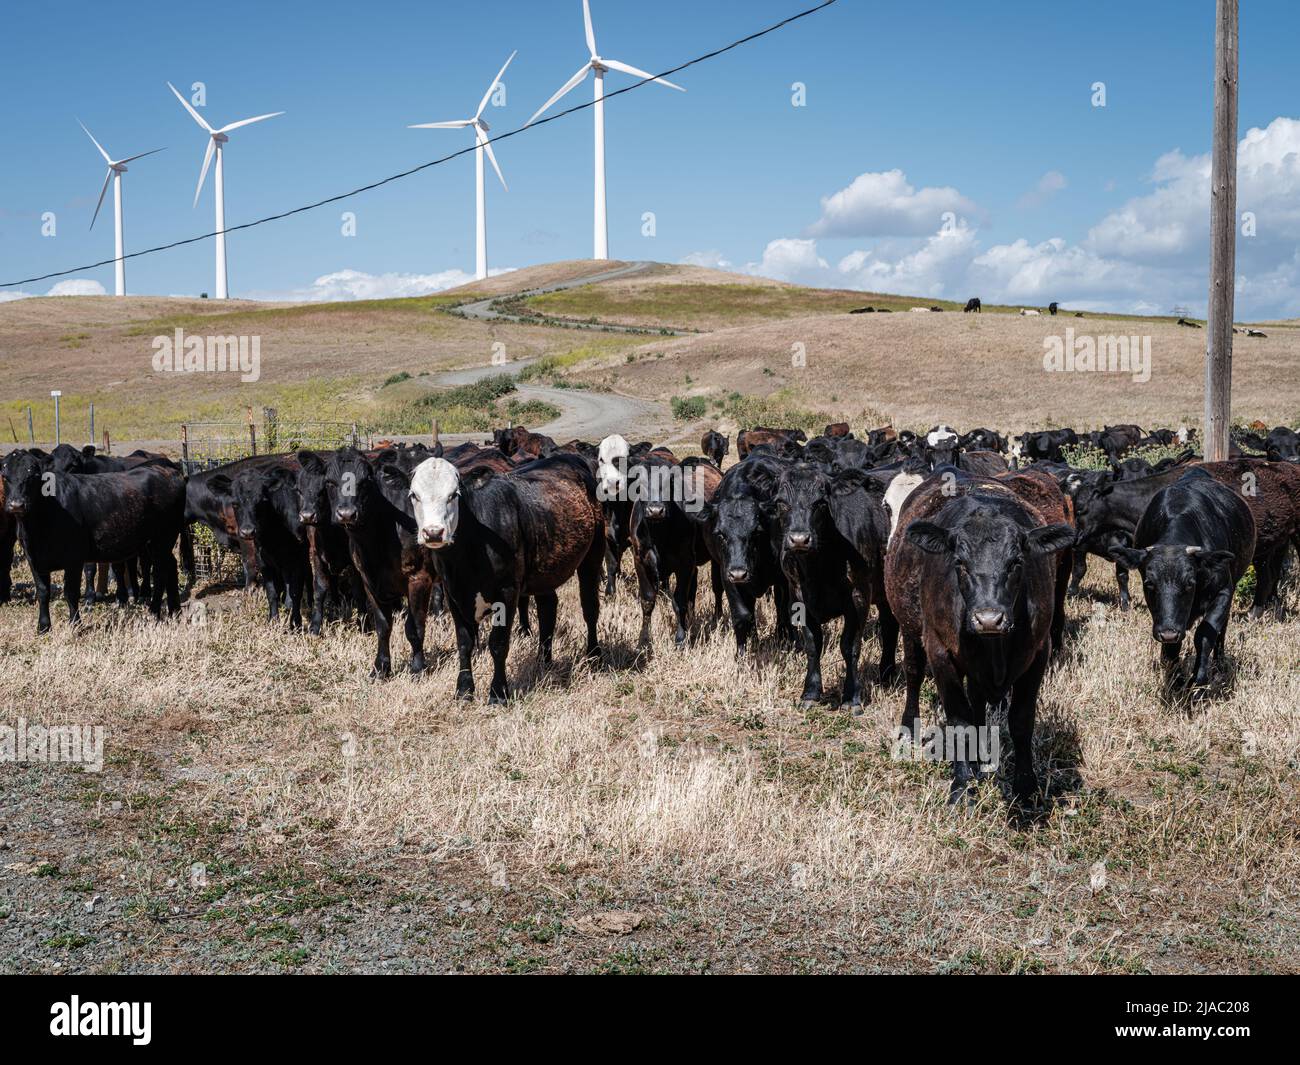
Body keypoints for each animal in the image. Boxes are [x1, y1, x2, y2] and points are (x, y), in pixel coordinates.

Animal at [405, 455, 603, 702]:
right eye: (414, 495)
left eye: (453, 495)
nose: (433, 533)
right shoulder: (453, 594)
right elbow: (464, 642)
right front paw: (464, 690)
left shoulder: (507, 591)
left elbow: (498, 644)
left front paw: (498, 694)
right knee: (548, 607)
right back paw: (543, 661)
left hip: (593, 555)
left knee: (590, 608)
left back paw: (594, 656)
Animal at [1112, 468, 1253, 686]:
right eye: (1149, 583)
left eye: (1189, 583)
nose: (1168, 633)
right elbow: (1171, 650)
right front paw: (1176, 681)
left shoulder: (1223, 591)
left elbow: (1205, 634)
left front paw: (1199, 678)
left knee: (1221, 630)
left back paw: (1219, 663)